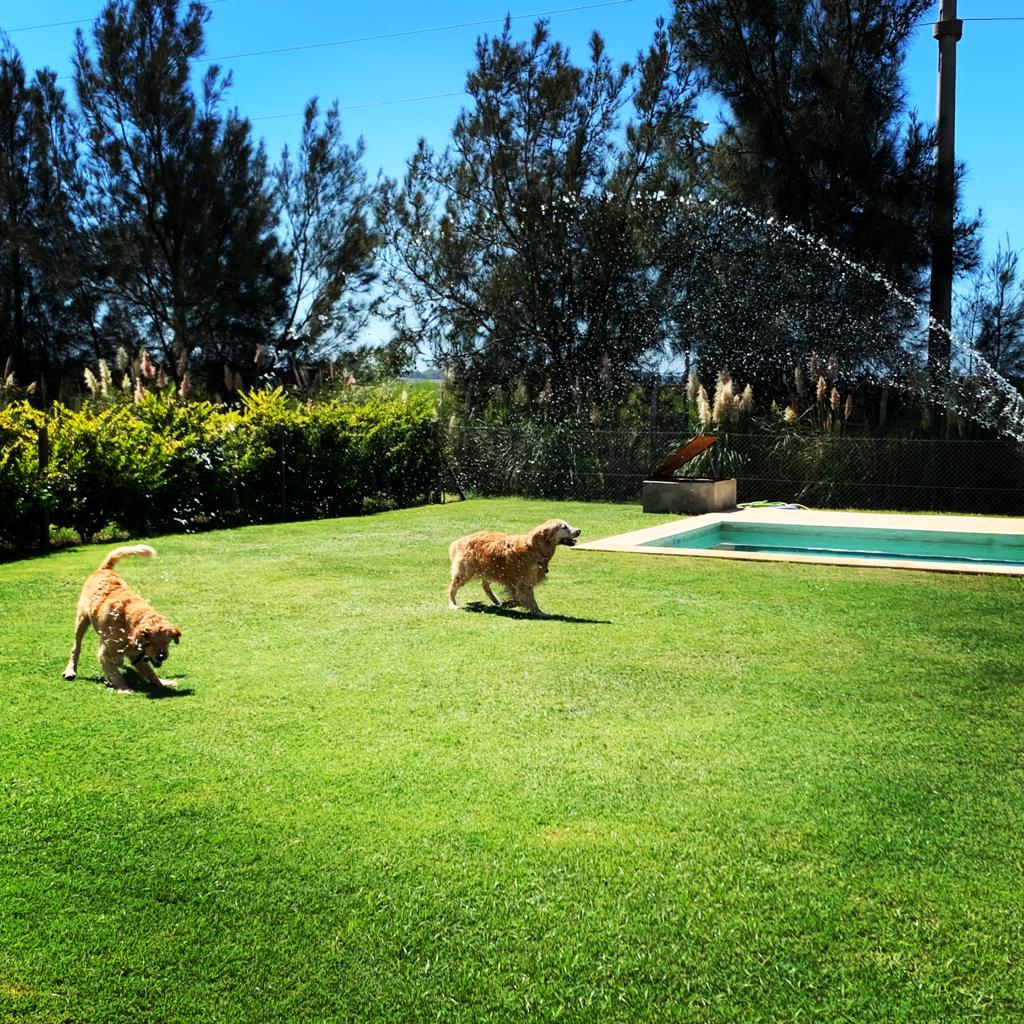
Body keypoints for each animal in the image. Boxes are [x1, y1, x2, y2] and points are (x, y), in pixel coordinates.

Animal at [63, 545, 182, 692]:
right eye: (150, 642)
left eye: (167, 641)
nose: (161, 656)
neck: (128, 622)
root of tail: (104, 569)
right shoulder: (106, 653)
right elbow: (115, 674)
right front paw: (124, 689)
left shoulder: (137, 655)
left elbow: (150, 672)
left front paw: (162, 683)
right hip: (82, 620)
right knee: (76, 648)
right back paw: (70, 670)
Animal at [447, 518, 581, 616]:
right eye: (564, 527)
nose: (579, 530)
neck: (535, 547)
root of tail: (459, 540)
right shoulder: (524, 581)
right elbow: (528, 599)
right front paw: (539, 612)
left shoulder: (515, 581)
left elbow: (518, 598)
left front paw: (508, 603)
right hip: (465, 571)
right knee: (452, 588)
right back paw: (452, 604)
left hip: (486, 568)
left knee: (484, 584)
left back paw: (495, 600)